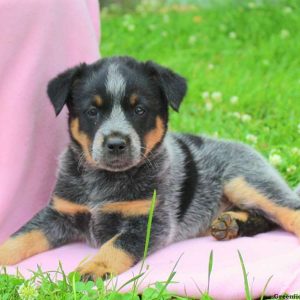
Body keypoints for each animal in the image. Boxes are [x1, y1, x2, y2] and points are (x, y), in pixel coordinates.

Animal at [0, 56, 300, 282]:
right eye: (92, 111)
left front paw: (94, 267)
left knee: (286, 210)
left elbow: (116, 245)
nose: (116, 143)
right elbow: (21, 236)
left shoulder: (150, 221)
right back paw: (231, 224)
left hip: (244, 180)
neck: (104, 181)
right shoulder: (58, 213)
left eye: (140, 109)